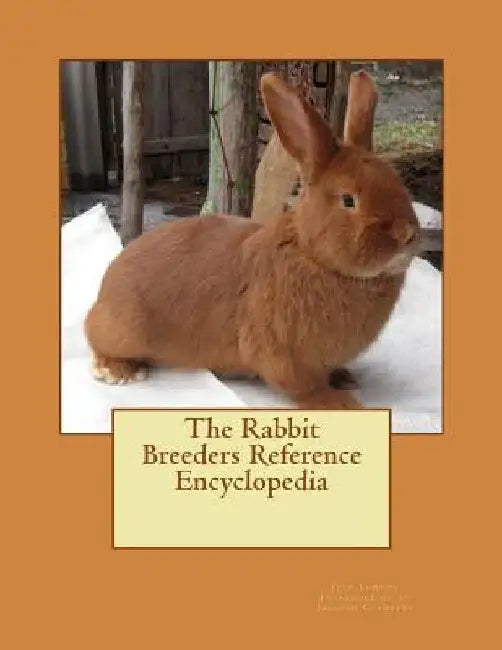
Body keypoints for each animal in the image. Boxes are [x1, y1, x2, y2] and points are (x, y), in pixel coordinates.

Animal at [85, 70, 420, 409]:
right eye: (349, 200)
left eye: (398, 184)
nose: (406, 235)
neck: (313, 256)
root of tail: (104, 290)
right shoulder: (279, 353)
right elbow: (304, 387)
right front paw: (340, 403)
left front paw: (344, 379)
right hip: (125, 330)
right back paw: (118, 371)